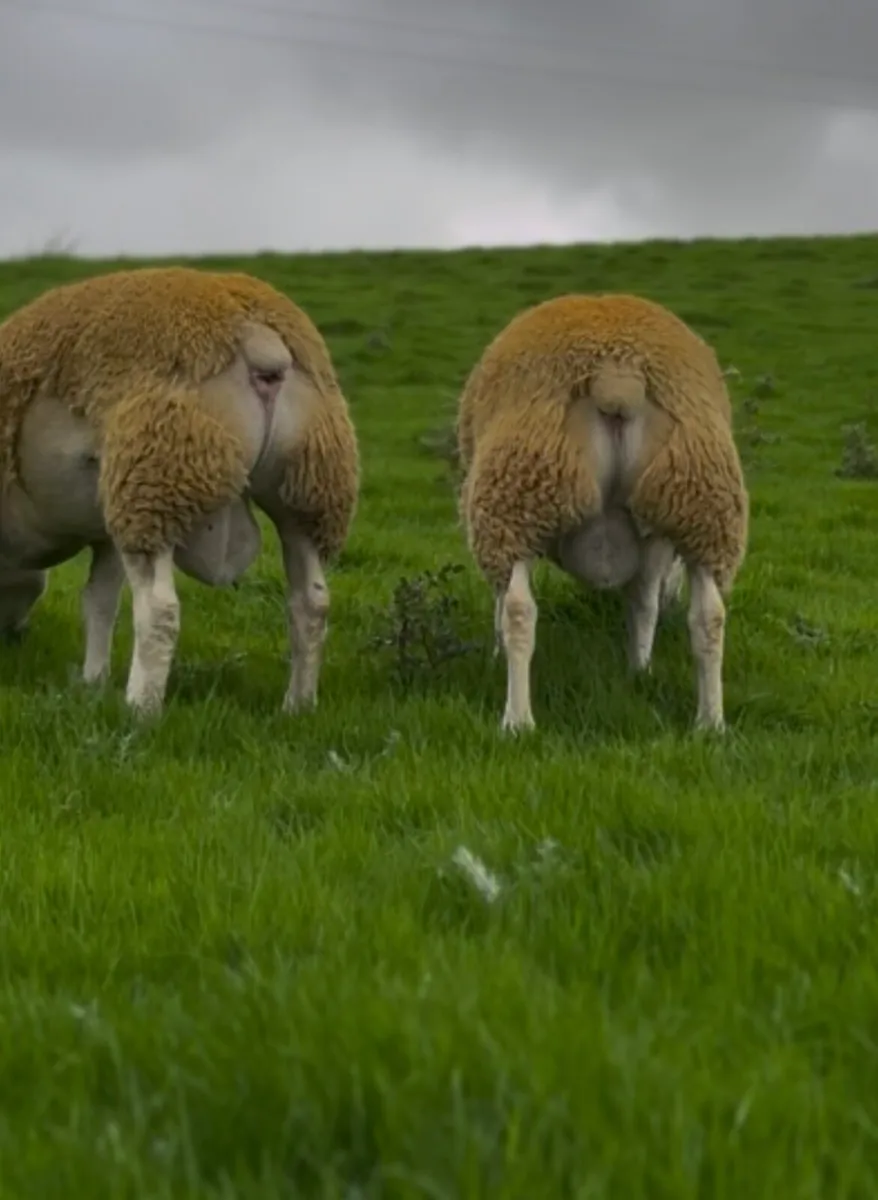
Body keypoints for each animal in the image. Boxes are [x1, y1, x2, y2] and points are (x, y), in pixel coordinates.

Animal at [0, 265, 359, 715]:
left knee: (160, 610)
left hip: (158, 478)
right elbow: (99, 602)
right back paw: (297, 706)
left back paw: (140, 709)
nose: (13, 638)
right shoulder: (105, 528)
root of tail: (261, 342)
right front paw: (92, 680)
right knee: (311, 603)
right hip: (309, 484)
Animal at [456, 292, 749, 734]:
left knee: (519, 611)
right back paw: (709, 722)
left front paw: (493, 654)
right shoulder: (653, 536)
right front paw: (639, 668)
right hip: (701, 504)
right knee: (709, 619)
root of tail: (617, 375)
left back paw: (517, 721)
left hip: (517, 497)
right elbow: (644, 601)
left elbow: (500, 600)